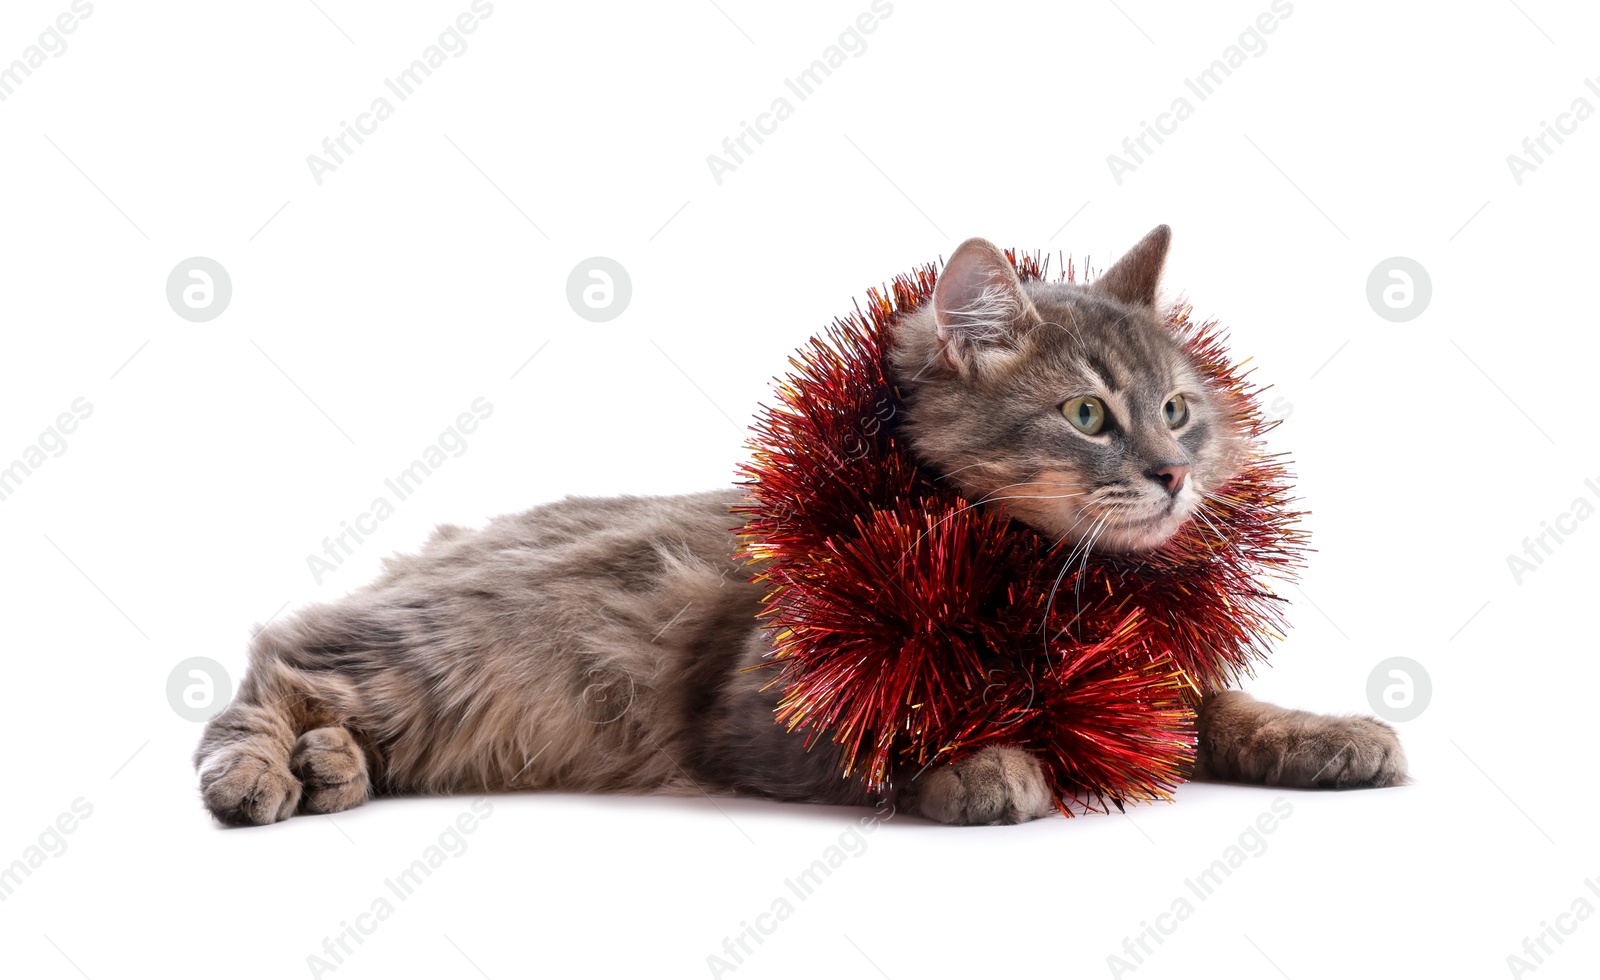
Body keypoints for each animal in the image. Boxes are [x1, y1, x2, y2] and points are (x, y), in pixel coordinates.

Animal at [193, 227, 1408, 826]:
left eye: (1177, 409)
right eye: (1085, 415)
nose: (1172, 472)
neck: (1028, 580)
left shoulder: (1154, 676)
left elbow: (1221, 710)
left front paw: (1329, 732)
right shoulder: (757, 705)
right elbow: (890, 737)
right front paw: (987, 766)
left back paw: (333, 769)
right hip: (437, 649)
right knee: (272, 665)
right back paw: (263, 775)